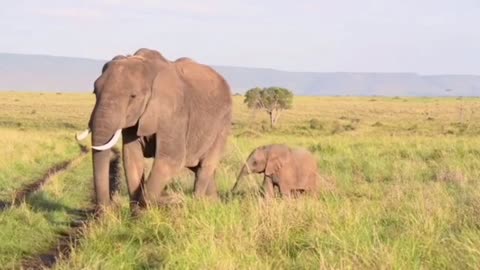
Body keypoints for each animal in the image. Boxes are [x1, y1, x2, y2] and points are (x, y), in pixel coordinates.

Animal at [75, 48, 232, 209]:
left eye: (133, 96)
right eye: (95, 92)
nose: (106, 210)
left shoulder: (175, 114)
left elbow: (171, 159)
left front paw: (143, 212)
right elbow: (132, 158)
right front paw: (135, 213)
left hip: (222, 125)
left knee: (204, 168)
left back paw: (198, 204)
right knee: (200, 168)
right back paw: (213, 204)